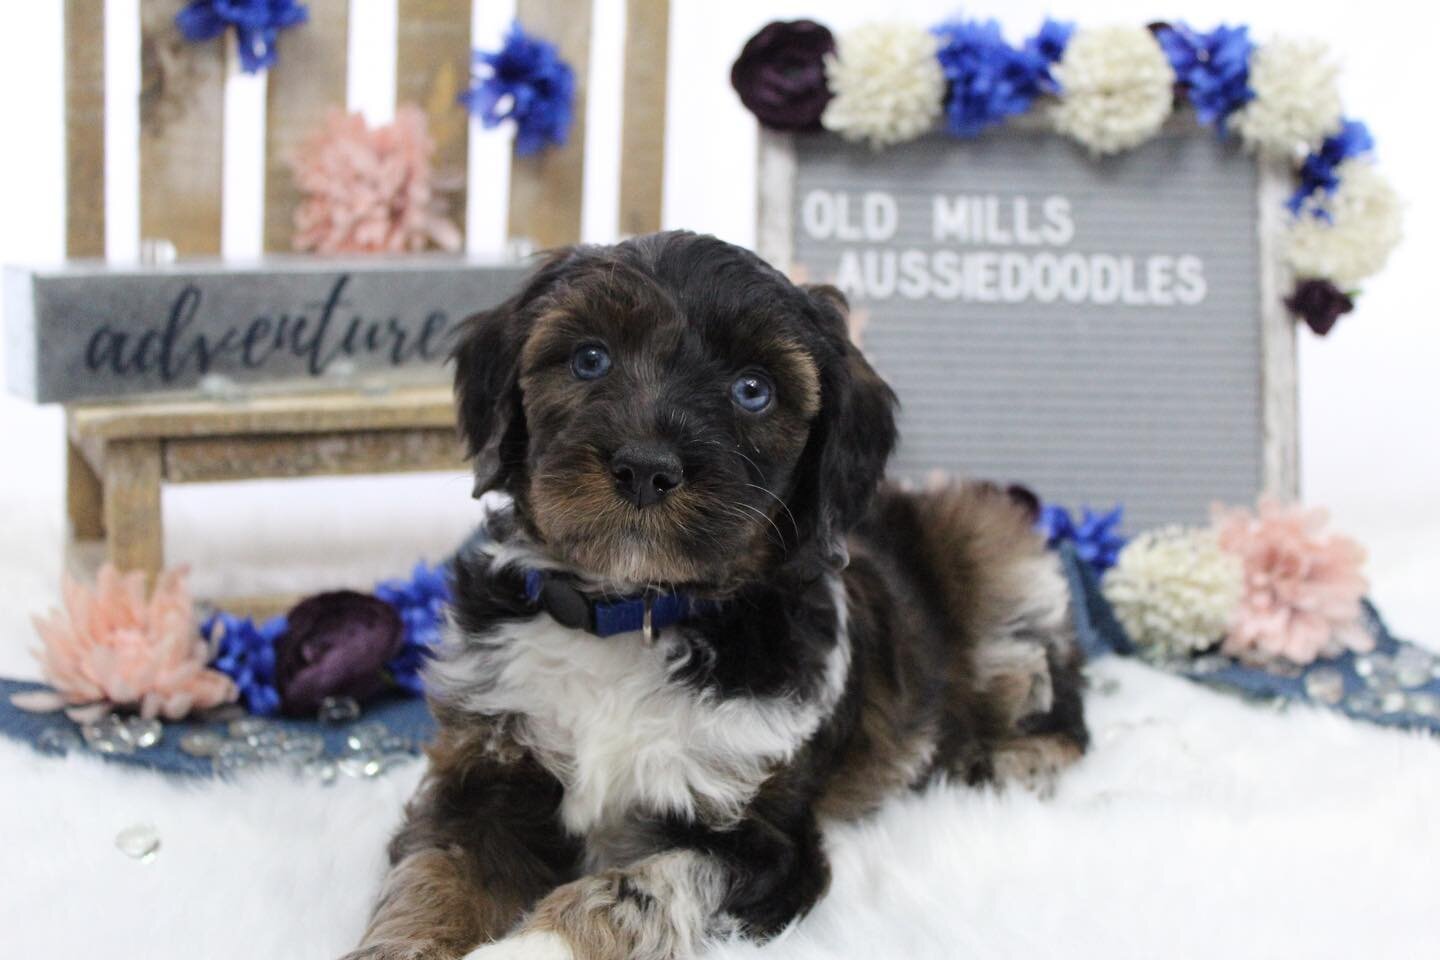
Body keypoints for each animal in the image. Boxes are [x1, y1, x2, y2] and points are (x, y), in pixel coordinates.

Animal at [342, 230, 1082, 960]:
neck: (634, 613)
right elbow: (435, 875)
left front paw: (531, 947)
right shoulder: (486, 768)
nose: (644, 467)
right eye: (589, 359)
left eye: (753, 390)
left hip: (997, 562)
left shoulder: (765, 844)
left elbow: (637, 890)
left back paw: (1013, 765)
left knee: (1060, 703)